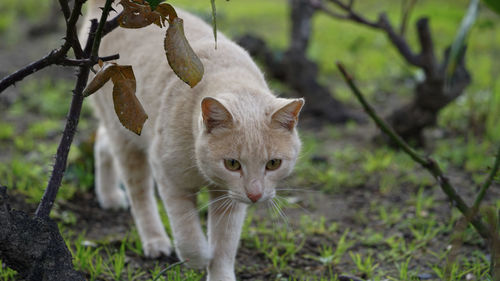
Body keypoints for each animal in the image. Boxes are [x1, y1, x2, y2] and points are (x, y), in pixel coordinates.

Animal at [81, 1, 304, 278]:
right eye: (232, 164)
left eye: (273, 164)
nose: (255, 195)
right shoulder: (170, 177)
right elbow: (186, 229)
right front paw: (198, 258)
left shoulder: (230, 199)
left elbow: (225, 243)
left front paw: (219, 273)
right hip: (129, 137)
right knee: (139, 193)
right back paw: (155, 240)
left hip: (122, 130)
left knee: (103, 142)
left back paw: (109, 196)